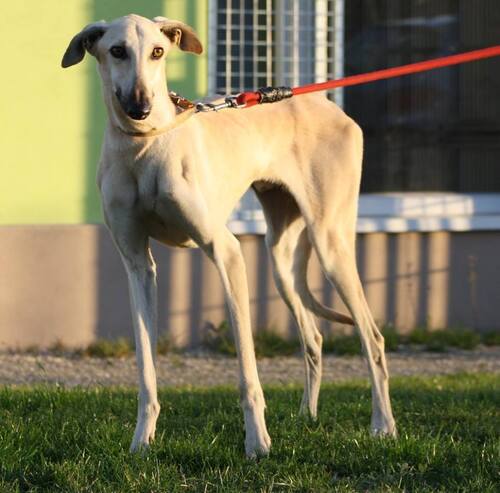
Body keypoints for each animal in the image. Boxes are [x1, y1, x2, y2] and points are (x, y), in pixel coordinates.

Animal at [61, 12, 394, 458]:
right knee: (313, 337)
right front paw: (141, 443)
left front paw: (257, 443)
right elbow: (146, 369)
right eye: (117, 50)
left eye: (158, 51)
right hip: (281, 261)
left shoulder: (227, 253)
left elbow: (248, 372)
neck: (145, 147)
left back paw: (383, 425)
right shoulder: (137, 266)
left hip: (331, 244)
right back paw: (307, 417)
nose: (140, 108)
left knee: (372, 338)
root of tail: (331, 106)